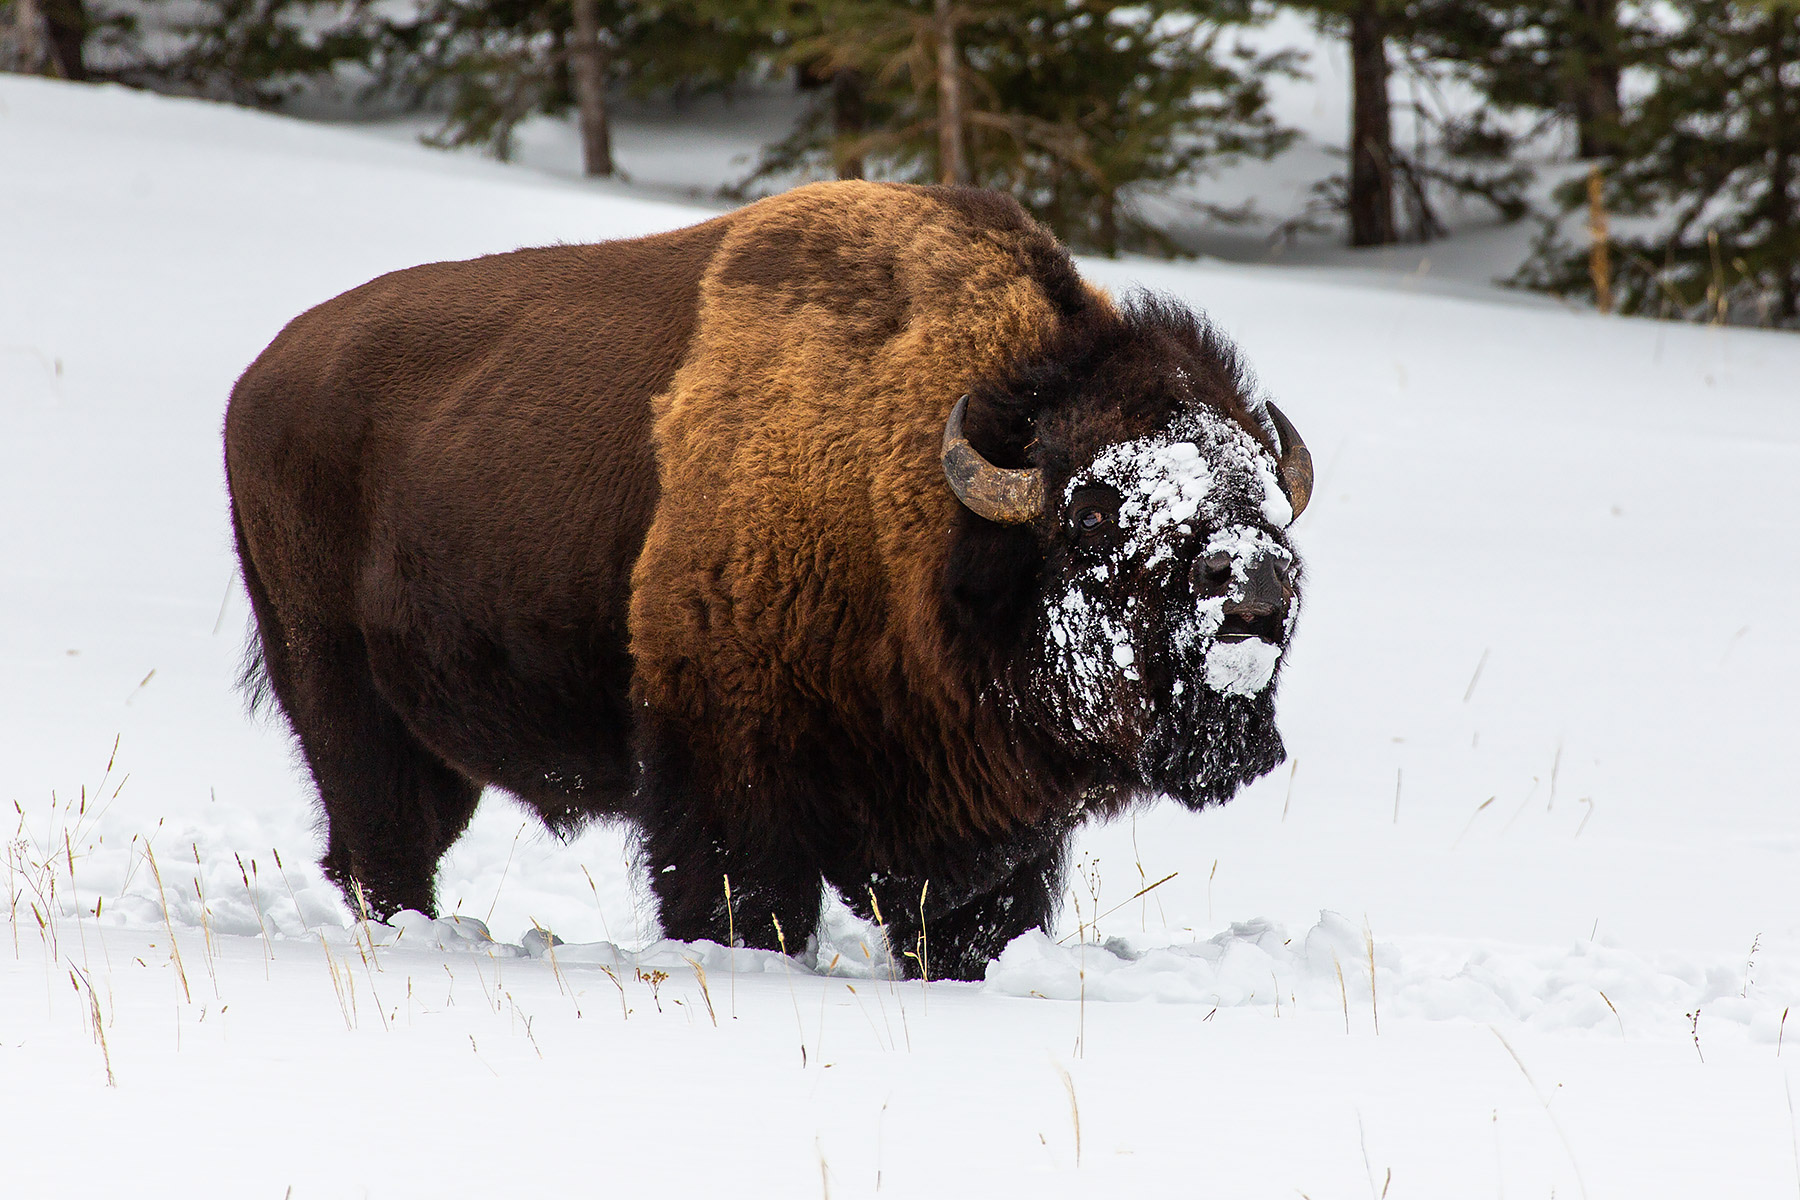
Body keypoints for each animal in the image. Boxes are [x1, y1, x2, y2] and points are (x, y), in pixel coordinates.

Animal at [225, 181, 1310, 980]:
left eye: (1268, 495)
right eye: (1091, 511)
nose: (1257, 586)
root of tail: (260, 381)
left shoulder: (992, 833)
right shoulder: (727, 778)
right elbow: (745, 905)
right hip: (337, 695)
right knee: (384, 842)